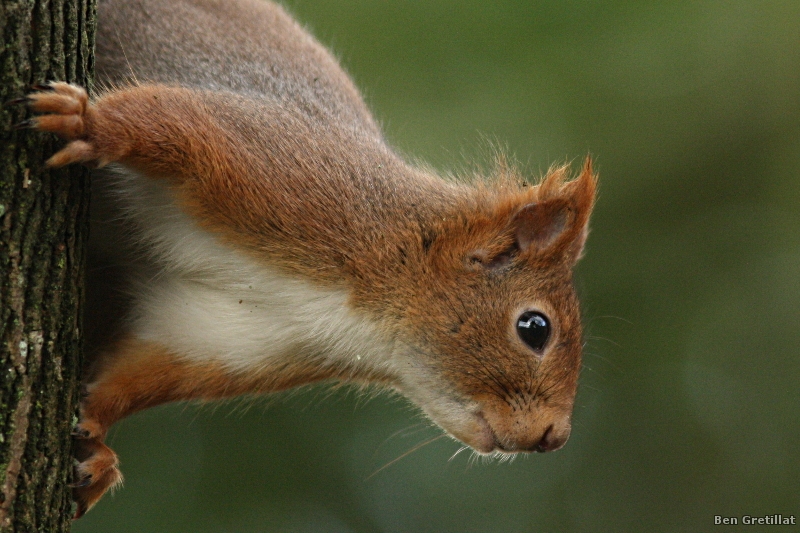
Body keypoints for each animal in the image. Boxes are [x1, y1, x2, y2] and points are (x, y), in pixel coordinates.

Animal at [20, 0, 592, 520]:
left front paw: (95, 449)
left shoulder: (228, 337)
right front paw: (88, 122)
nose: (554, 436)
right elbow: (173, 122)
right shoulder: (285, 172)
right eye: (535, 328)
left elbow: (128, 376)